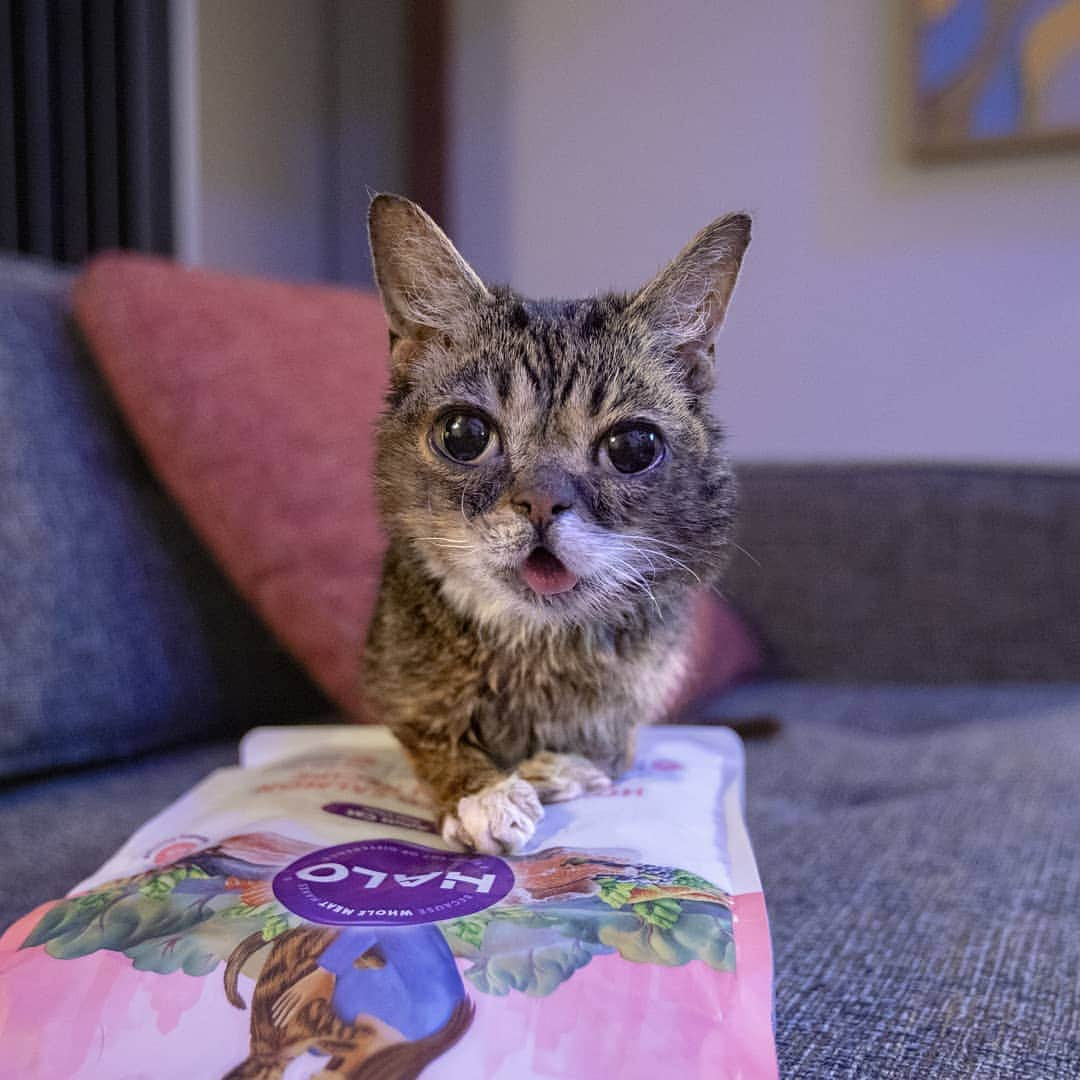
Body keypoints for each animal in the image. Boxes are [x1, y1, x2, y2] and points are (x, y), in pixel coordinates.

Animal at [362, 192, 751, 851]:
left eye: (633, 447)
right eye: (464, 435)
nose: (541, 503)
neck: (536, 646)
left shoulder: (642, 696)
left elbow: (612, 748)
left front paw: (559, 768)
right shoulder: (397, 687)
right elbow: (432, 738)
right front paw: (485, 793)